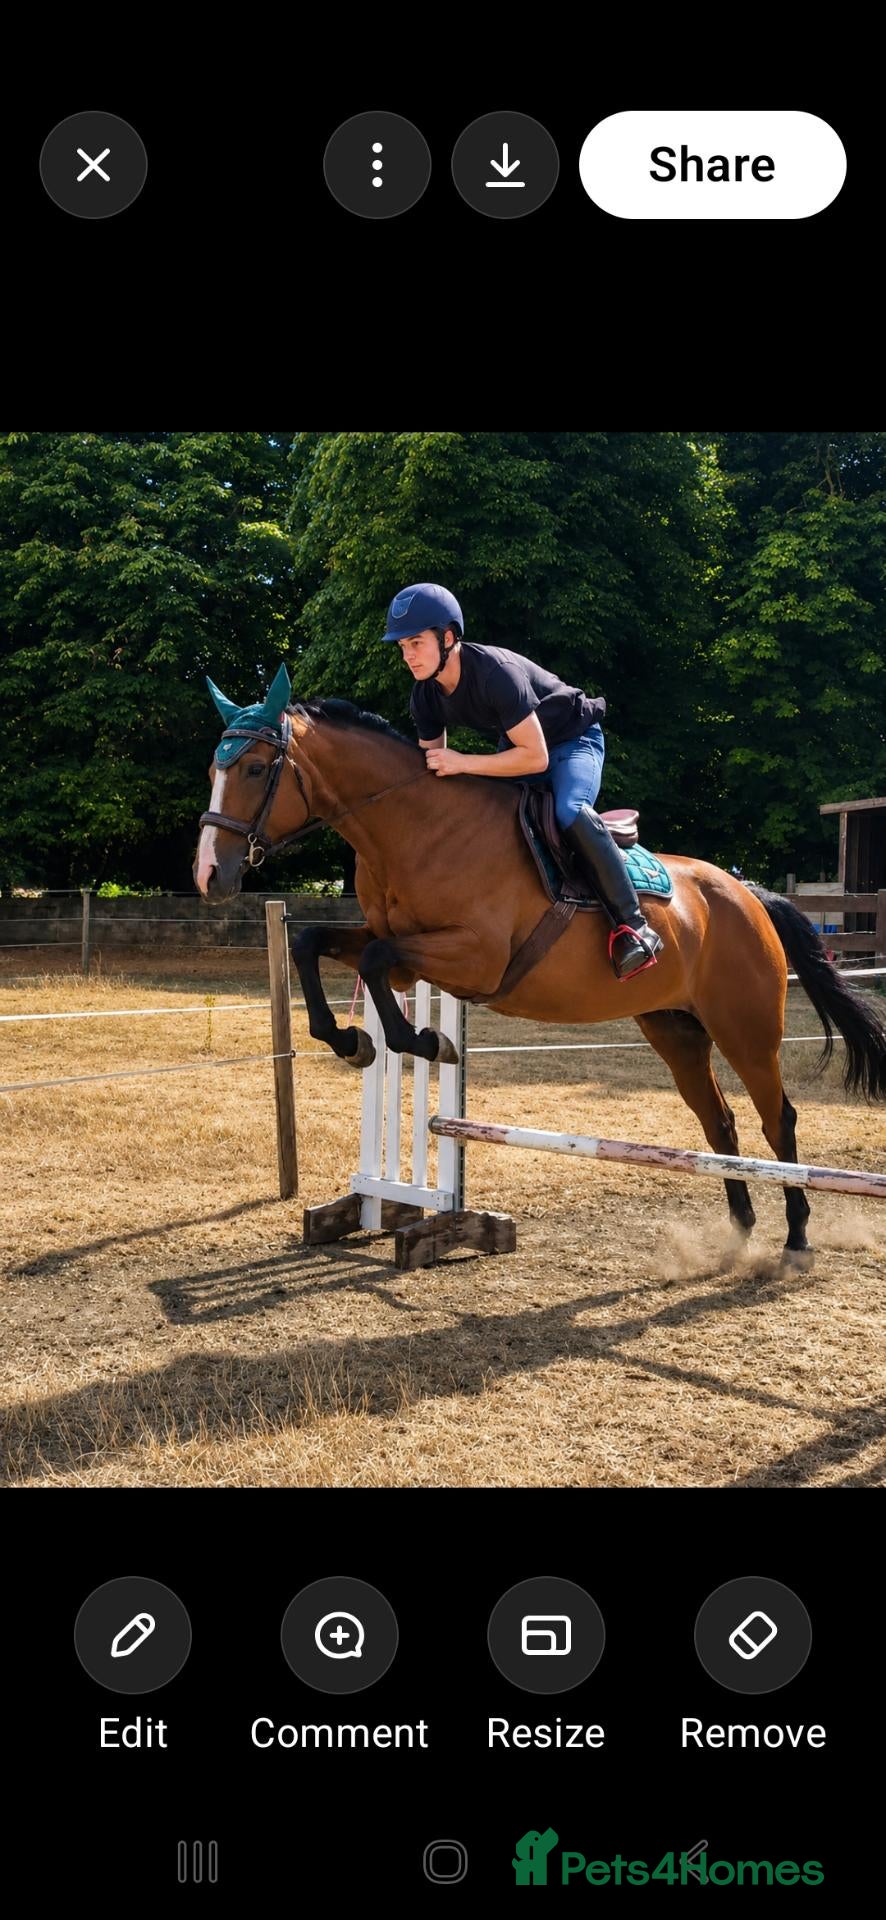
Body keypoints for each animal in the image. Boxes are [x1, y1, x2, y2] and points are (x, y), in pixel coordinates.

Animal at [194, 681, 886, 1268]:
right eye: (213, 770)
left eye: (255, 768)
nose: (208, 876)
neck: (414, 826)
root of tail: (747, 894)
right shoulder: (399, 945)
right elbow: (313, 943)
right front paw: (351, 1040)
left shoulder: (475, 957)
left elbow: (375, 962)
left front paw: (425, 1041)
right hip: (675, 1029)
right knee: (720, 1121)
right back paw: (740, 1228)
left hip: (746, 1029)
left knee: (778, 1120)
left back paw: (796, 1238)